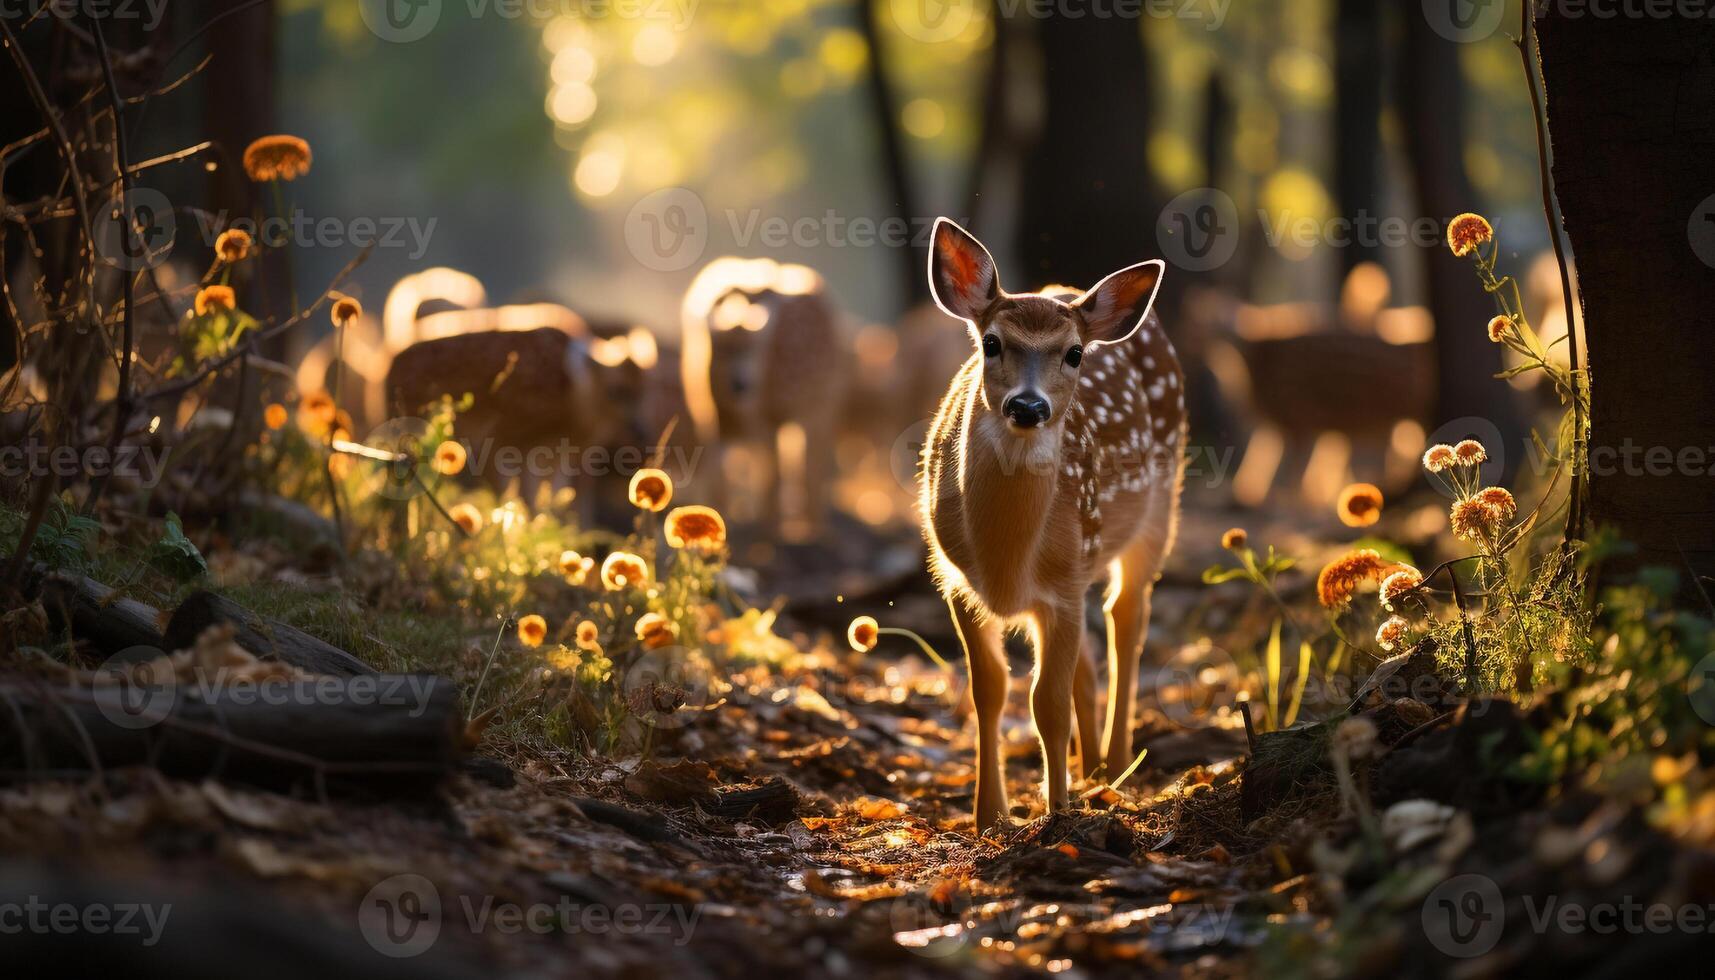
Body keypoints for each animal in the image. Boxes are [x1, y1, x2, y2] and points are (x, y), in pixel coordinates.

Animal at [679, 257, 847, 542]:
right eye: (721, 349)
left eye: (753, 350)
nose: (741, 383)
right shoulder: (711, 414)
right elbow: (720, 477)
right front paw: (718, 526)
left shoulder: (767, 416)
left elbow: (772, 476)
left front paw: (768, 530)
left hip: (822, 403)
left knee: (810, 462)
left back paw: (815, 527)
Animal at [919, 218, 1186, 830]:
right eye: (992, 342)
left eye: (1074, 354)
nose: (1028, 406)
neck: (1005, 557)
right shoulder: (955, 578)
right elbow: (990, 689)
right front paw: (989, 816)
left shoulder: (1061, 584)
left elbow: (1047, 703)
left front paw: (1056, 814)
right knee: (1088, 657)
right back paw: (1094, 770)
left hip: (1159, 506)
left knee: (1126, 616)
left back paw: (1115, 764)